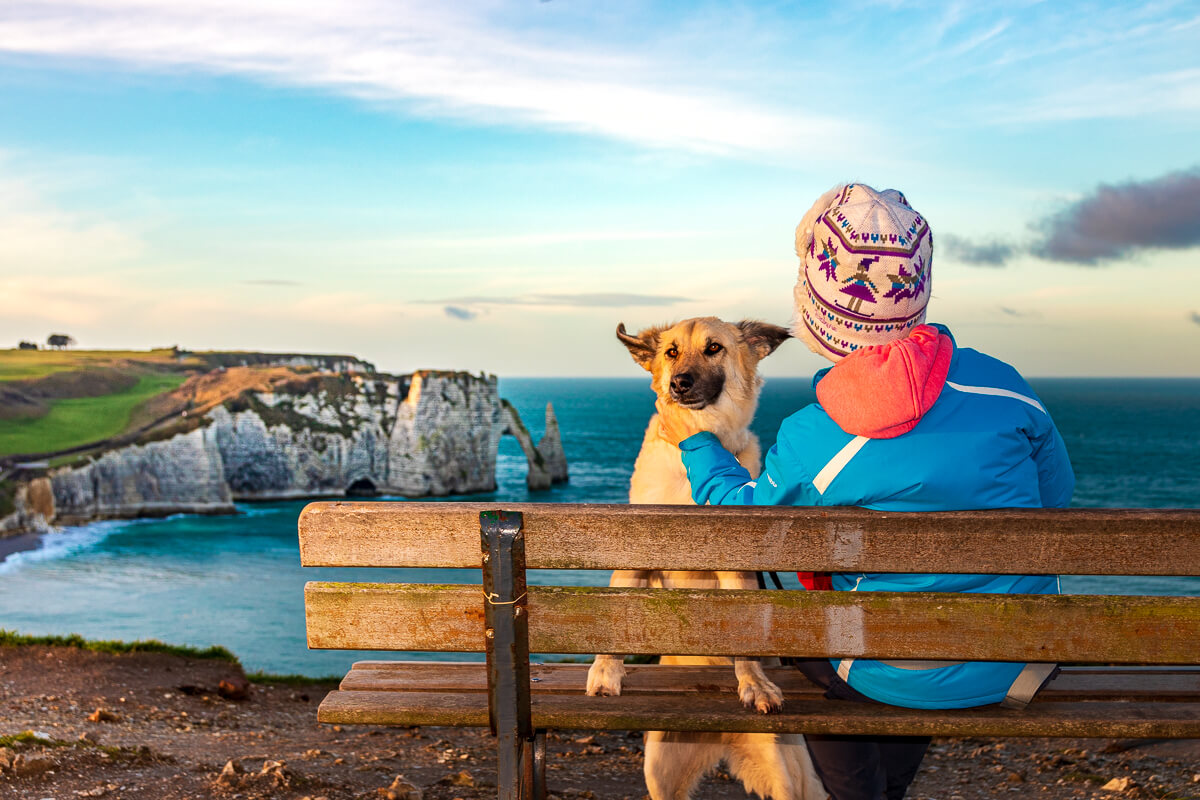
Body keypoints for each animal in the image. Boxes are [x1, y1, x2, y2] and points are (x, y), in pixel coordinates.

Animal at [585, 316, 830, 800]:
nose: (679, 383)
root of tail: (718, 733)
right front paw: (606, 671)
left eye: (713, 348)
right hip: (660, 773)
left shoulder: (736, 563)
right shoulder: (634, 549)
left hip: (785, 777)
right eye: (671, 352)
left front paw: (754, 683)